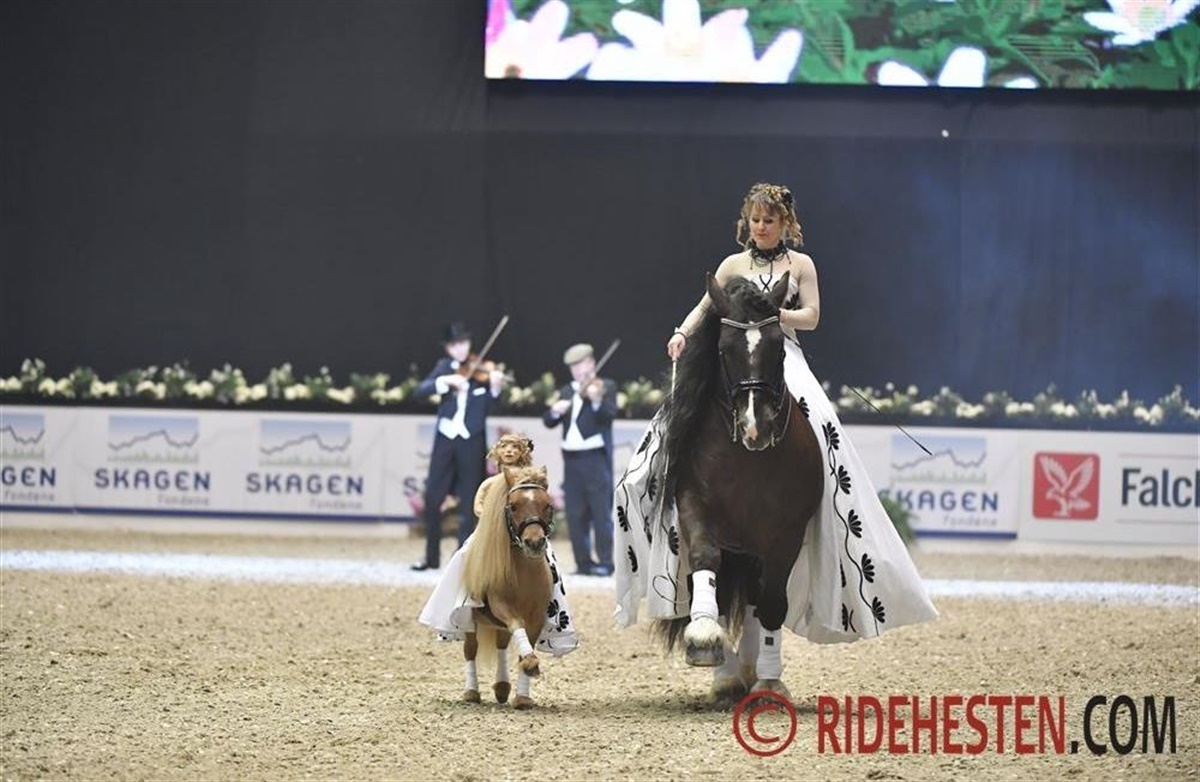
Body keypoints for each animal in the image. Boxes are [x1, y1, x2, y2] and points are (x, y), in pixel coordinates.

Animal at [460, 465, 555, 710]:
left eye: (547, 504)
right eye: (513, 506)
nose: (534, 542)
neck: (524, 575)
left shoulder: (537, 616)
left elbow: (525, 645)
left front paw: (523, 696)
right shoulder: (501, 607)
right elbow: (517, 624)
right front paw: (531, 663)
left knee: (501, 645)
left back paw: (502, 687)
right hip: (470, 621)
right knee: (470, 650)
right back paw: (471, 693)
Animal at [656, 272, 825, 705]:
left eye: (779, 349)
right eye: (723, 349)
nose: (755, 426)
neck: (747, 462)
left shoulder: (787, 533)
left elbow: (772, 603)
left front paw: (769, 681)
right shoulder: (694, 506)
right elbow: (706, 562)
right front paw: (703, 638)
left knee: (753, 599)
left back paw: (750, 671)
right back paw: (729, 676)